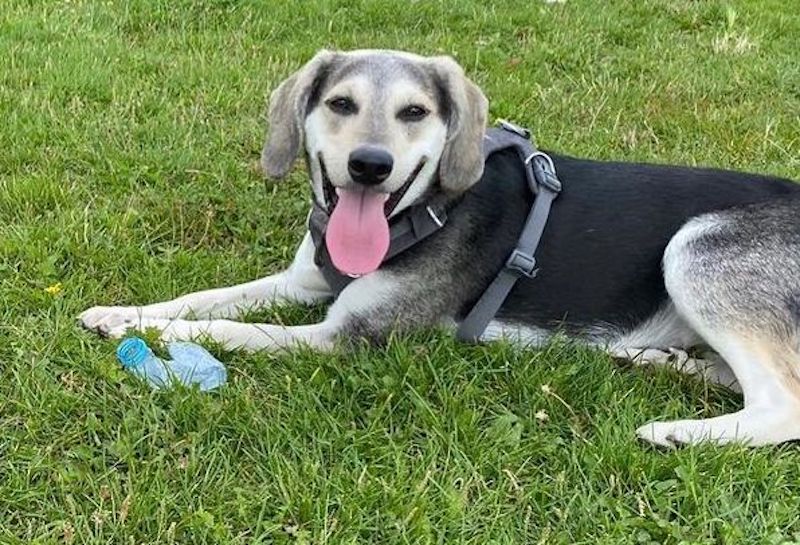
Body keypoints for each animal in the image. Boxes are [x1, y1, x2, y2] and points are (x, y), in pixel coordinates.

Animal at [81, 49, 800, 446]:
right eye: (340, 103)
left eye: (414, 113)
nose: (370, 165)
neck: (421, 210)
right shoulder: (301, 282)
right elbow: (204, 296)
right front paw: (123, 312)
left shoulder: (345, 336)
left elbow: (224, 327)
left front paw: (162, 335)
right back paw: (662, 359)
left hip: (695, 249)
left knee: (781, 406)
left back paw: (678, 432)